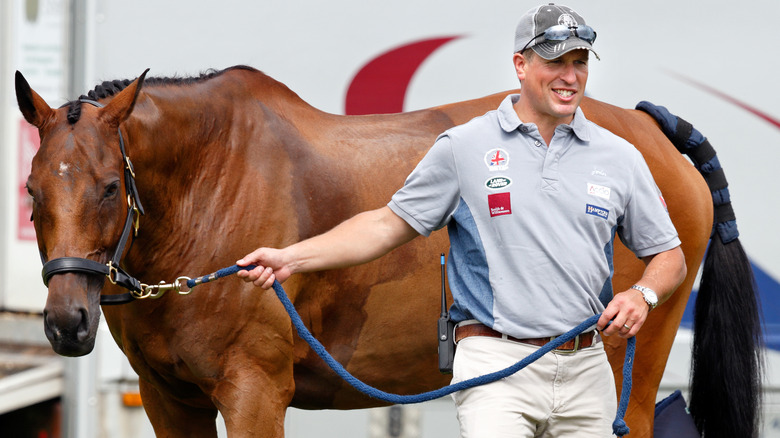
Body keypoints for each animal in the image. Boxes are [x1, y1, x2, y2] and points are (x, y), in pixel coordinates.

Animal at [15, 66, 760, 438]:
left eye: (110, 188)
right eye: (31, 188)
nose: (66, 321)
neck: (212, 183)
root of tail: (651, 131)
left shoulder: (254, 393)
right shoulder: (170, 400)